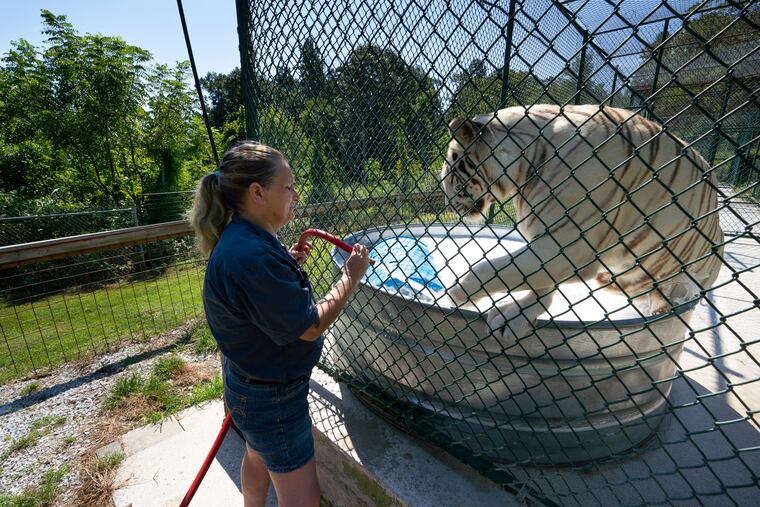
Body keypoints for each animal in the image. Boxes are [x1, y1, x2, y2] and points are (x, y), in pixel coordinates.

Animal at [440, 104, 724, 341]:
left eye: (452, 169)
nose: (447, 205)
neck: (525, 165)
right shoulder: (550, 246)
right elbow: (537, 284)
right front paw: (514, 316)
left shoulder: (567, 248)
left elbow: (489, 270)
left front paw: (456, 295)